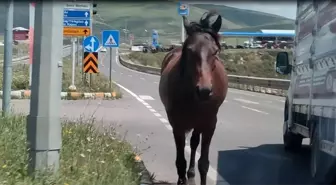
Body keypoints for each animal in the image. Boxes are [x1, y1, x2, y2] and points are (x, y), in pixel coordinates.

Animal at [159, 11, 228, 185]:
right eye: (190, 50)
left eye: (215, 51)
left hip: (198, 123)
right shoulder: (177, 124)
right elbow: (180, 160)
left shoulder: (210, 123)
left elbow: (203, 163)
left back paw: (190, 175)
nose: (204, 90)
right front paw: (181, 179)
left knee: (194, 143)